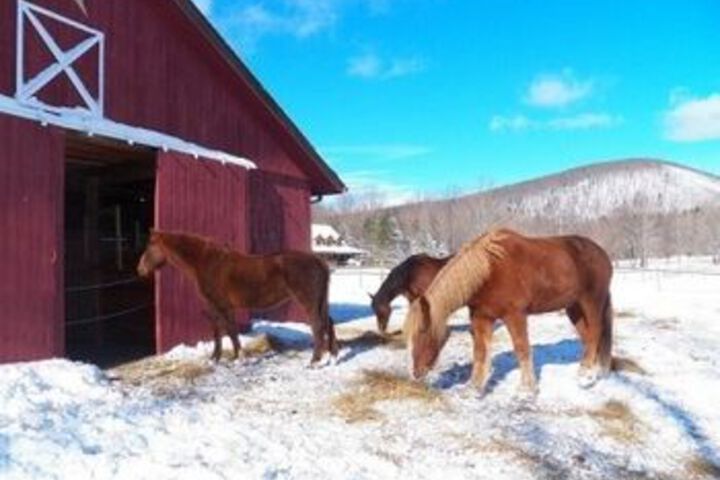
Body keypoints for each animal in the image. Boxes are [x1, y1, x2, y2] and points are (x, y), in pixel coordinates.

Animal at [137, 230, 337, 365]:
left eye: (149, 246)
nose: (139, 269)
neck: (207, 262)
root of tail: (318, 260)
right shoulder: (219, 307)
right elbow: (220, 331)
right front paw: (216, 358)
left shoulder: (221, 306)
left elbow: (229, 330)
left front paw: (238, 358)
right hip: (319, 302)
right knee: (328, 323)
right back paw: (331, 356)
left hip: (308, 302)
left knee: (318, 326)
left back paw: (314, 361)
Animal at [405, 228, 613, 391]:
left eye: (422, 332)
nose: (416, 373)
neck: (488, 271)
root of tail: (602, 253)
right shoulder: (481, 318)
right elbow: (480, 351)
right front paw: (474, 387)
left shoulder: (514, 316)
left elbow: (522, 348)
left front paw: (527, 388)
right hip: (574, 308)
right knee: (587, 337)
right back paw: (591, 369)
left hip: (591, 301)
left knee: (595, 332)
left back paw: (585, 376)